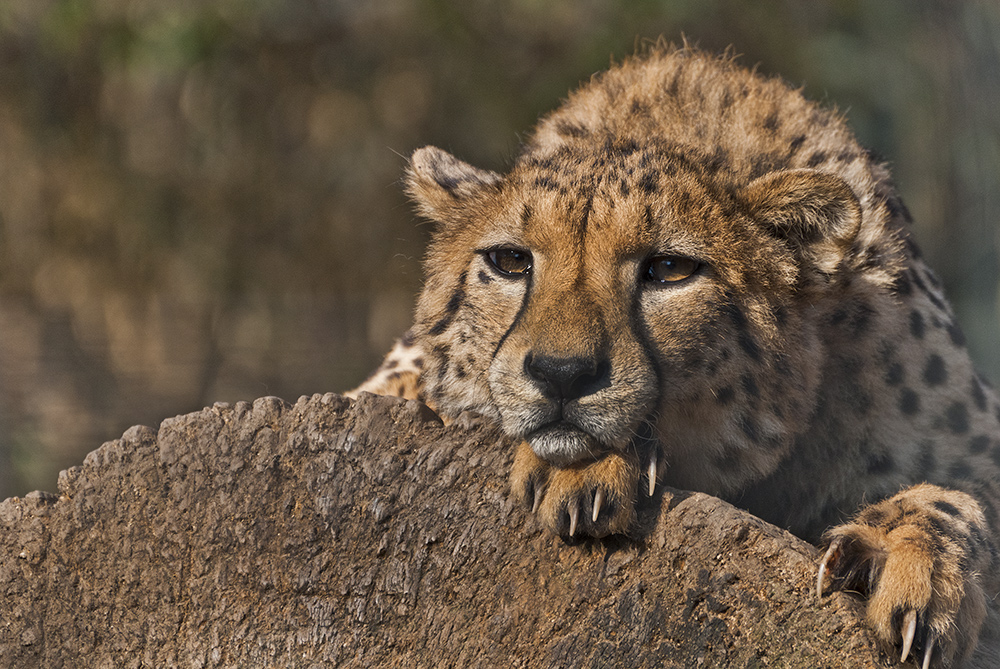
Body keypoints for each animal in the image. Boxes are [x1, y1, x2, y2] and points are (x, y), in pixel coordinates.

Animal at [350, 44, 1000, 664]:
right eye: (510, 260)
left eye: (668, 269)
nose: (561, 375)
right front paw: (587, 465)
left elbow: (958, 500)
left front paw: (912, 562)